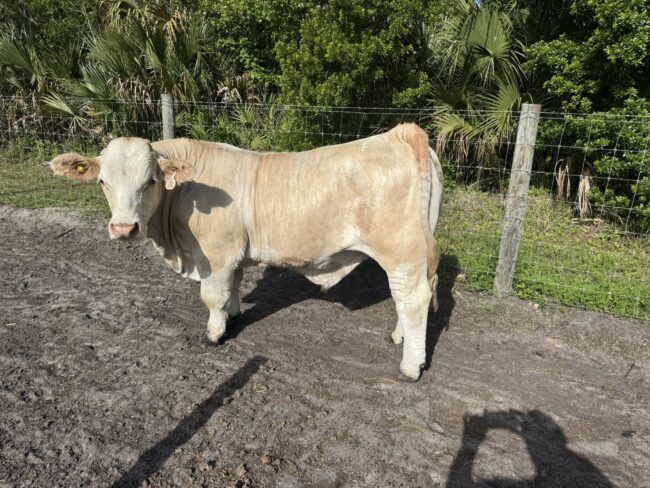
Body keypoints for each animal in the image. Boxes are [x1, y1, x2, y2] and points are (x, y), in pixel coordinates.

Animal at [49, 123, 443, 380]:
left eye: (150, 181)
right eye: (103, 181)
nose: (123, 228)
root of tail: (402, 133)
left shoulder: (216, 253)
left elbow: (212, 296)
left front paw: (214, 334)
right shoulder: (232, 254)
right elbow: (233, 286)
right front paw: (233, 314)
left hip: (401, 250)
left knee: (412, 300)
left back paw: (411, 366)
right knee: (410, 299)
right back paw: (399, 337)